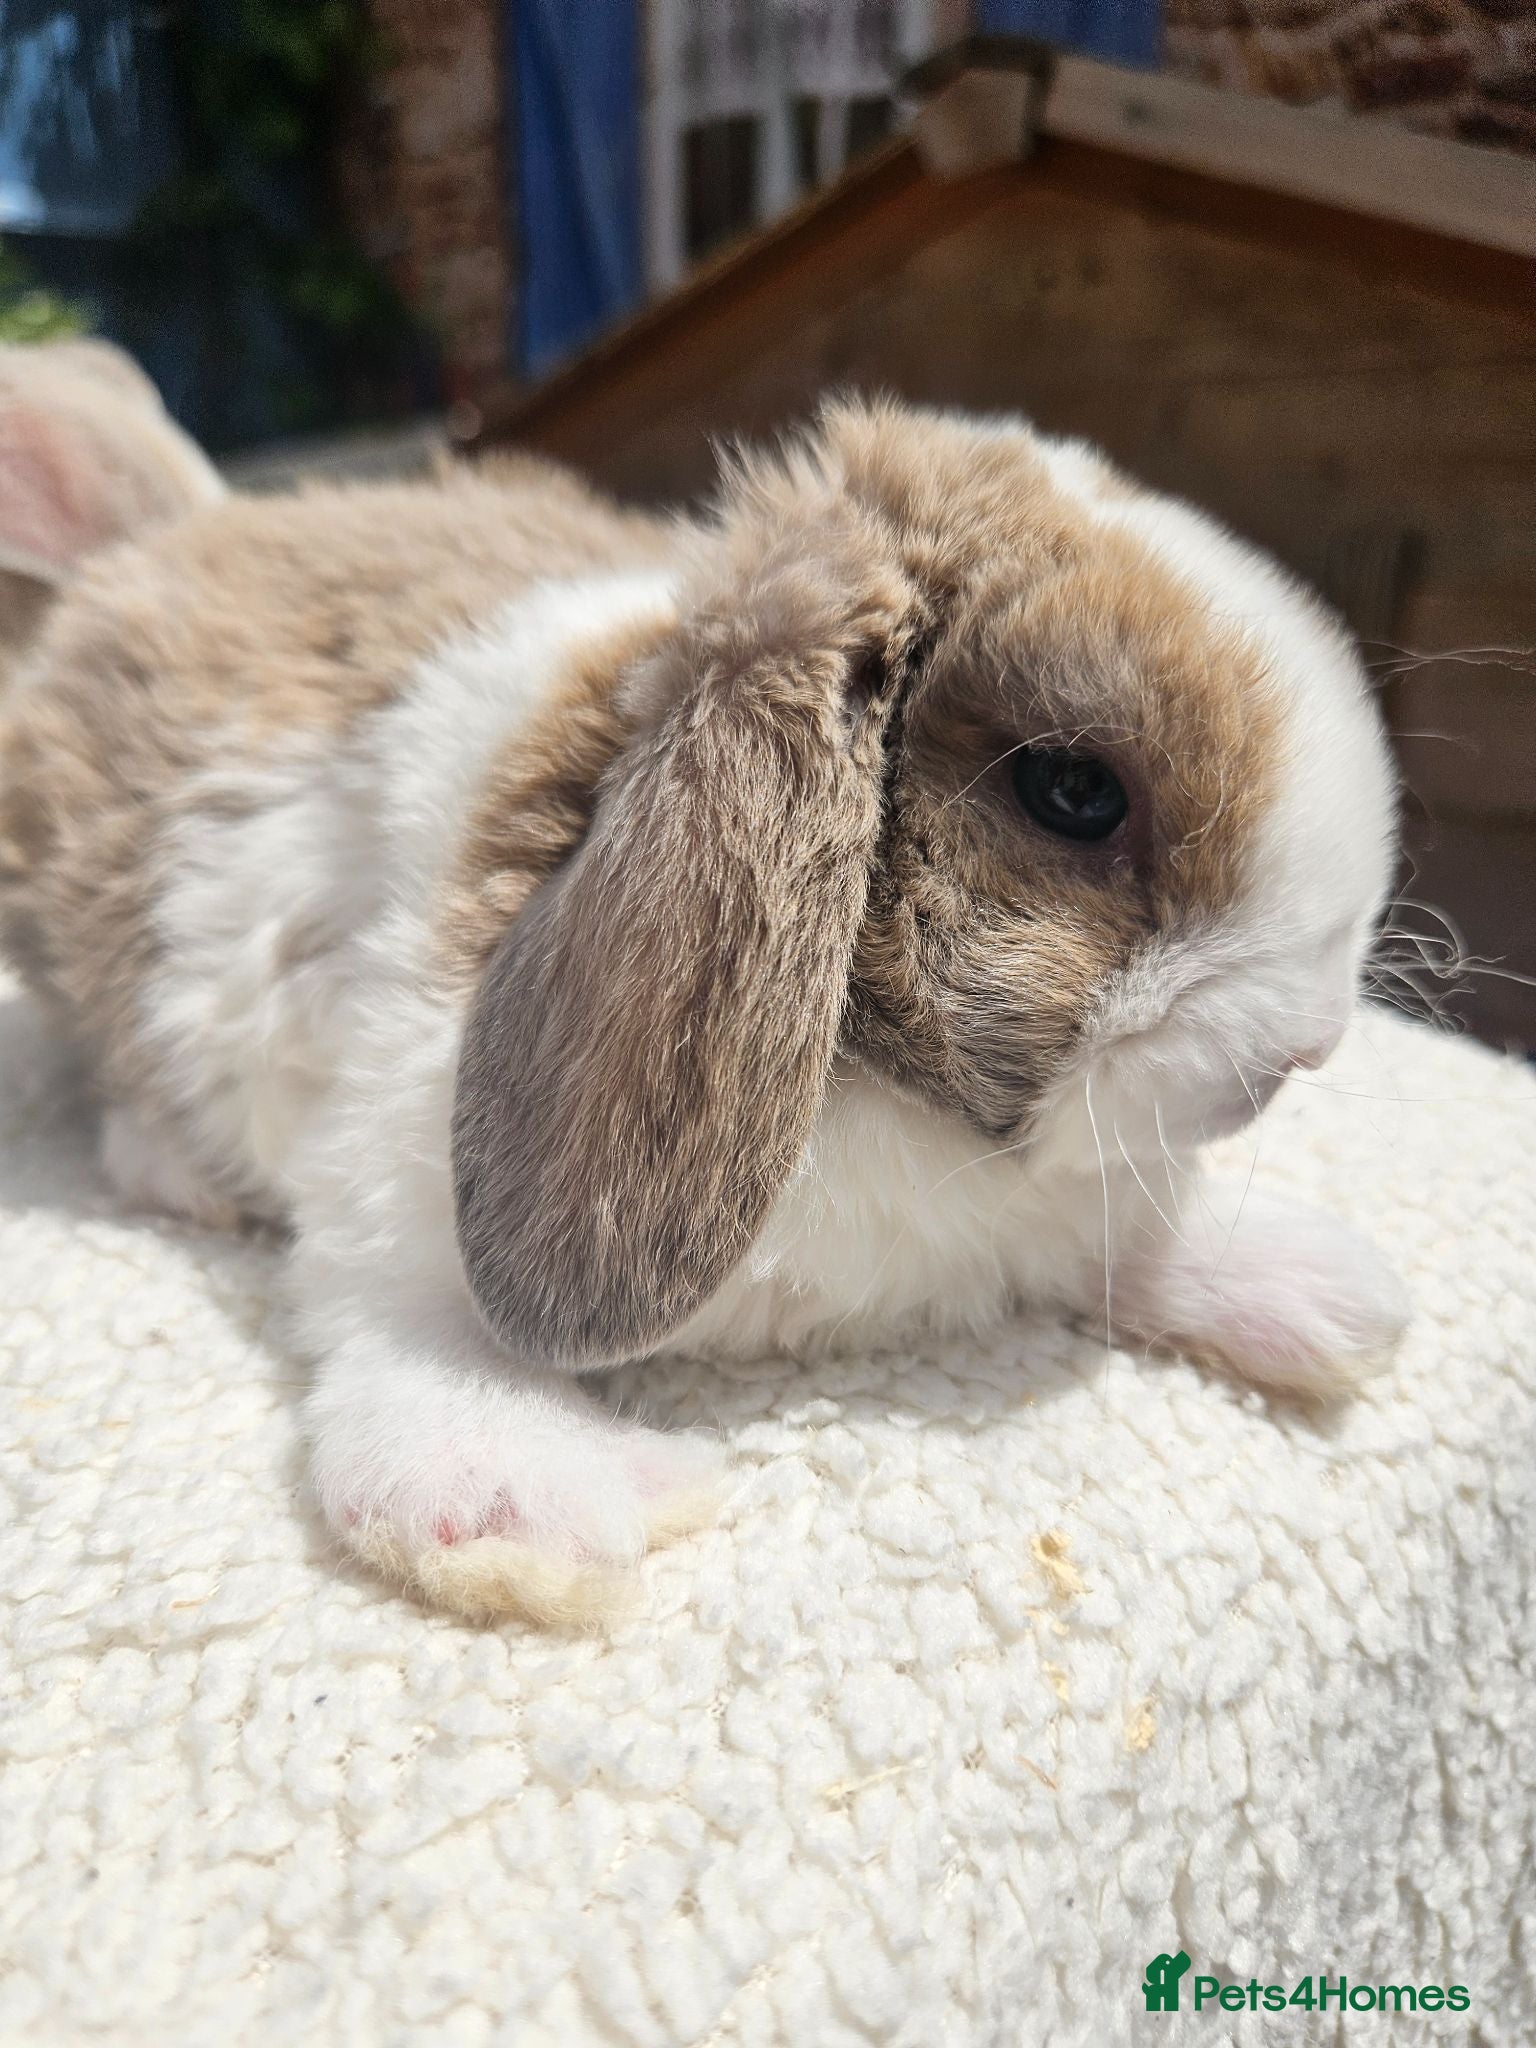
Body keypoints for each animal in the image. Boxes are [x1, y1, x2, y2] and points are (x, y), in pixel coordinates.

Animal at [0, 397, 1409, 1625]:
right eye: (1072, 791)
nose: (1311, 1044)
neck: (880, 1095)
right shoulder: (393, 1136)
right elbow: (408, 1312)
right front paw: (519, 1496)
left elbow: (1115, 1231)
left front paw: (1327, 1297)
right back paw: (181, 1172)